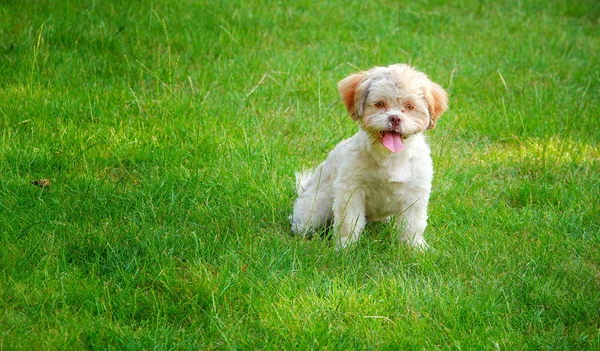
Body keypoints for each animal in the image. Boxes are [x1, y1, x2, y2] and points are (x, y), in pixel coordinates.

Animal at [288, 64, 448, 250]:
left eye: (409, 107)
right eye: (380, 104)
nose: (395, 118)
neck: (390, 157)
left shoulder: (414, 194)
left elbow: (413, 225)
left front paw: (414, 248)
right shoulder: (352, 191)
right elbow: (348, 223)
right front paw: (345, 247)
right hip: (315, 209)